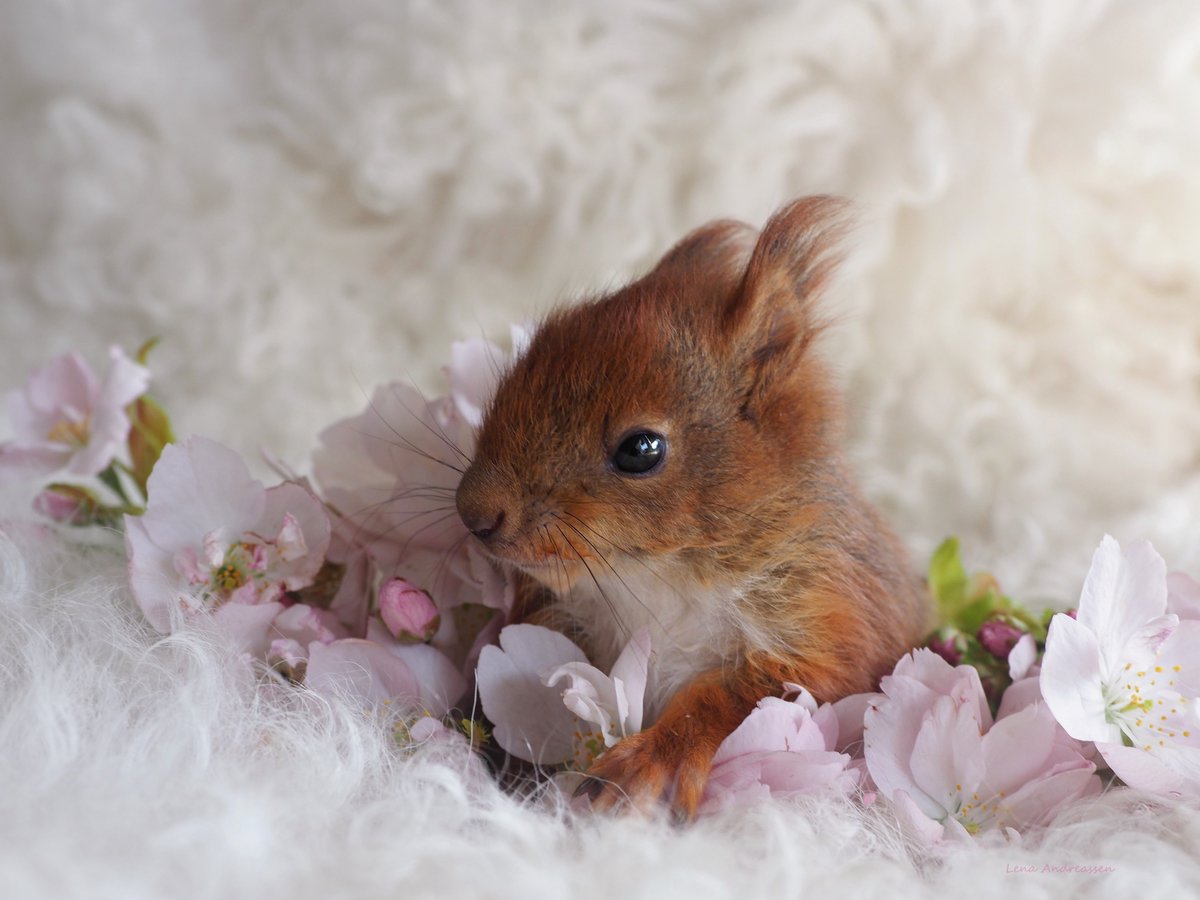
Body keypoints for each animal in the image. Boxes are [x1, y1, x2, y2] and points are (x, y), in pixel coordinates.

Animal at [453, 196, 931, 816]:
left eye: (641, 449)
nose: (473, 512)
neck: (662, 576)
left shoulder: (836, 626)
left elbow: (741, 697)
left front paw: (647, 761)